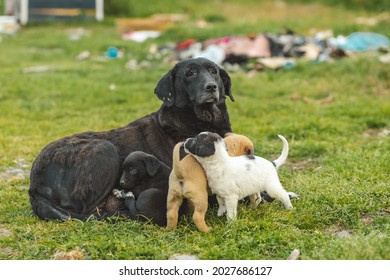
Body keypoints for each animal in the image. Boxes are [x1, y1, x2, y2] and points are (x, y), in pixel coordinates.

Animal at [29, 57, 235, 221]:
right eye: (190, 73)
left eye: (214, 71)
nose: (211, 86)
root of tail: (34, 185)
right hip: (104, 149)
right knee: (93, 210)